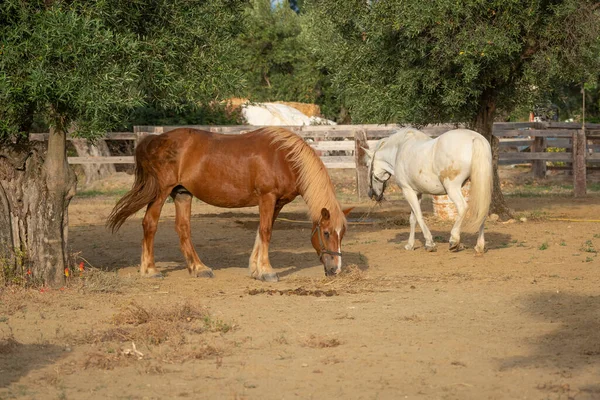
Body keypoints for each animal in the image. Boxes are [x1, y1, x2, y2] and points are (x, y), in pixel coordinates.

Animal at [107, 127, 352, 282]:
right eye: (327, 233)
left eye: (342, 234)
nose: (335, 269)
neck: (284, 158)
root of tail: (155, 139)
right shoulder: (267, 197)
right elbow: (266, 232)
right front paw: (267, 271)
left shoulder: (277, 203)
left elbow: (261, 232)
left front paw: (255, 270)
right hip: (161, 192)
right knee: (150, 224)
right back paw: (150, 270)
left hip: (182, 194)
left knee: (183, 228)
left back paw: (199, 268)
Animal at [364, 128, 494, 253]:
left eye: (367, 165)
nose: (372, 194)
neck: (399, 150)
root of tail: (475, 138)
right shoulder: (417, 193)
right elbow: (413, 219)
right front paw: (410, 245)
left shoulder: (408, 191)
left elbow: (419, 216)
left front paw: (429, 243)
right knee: (481, 210)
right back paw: (479, 246)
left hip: (452, 187)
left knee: (462, 207)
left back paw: (454, 240)